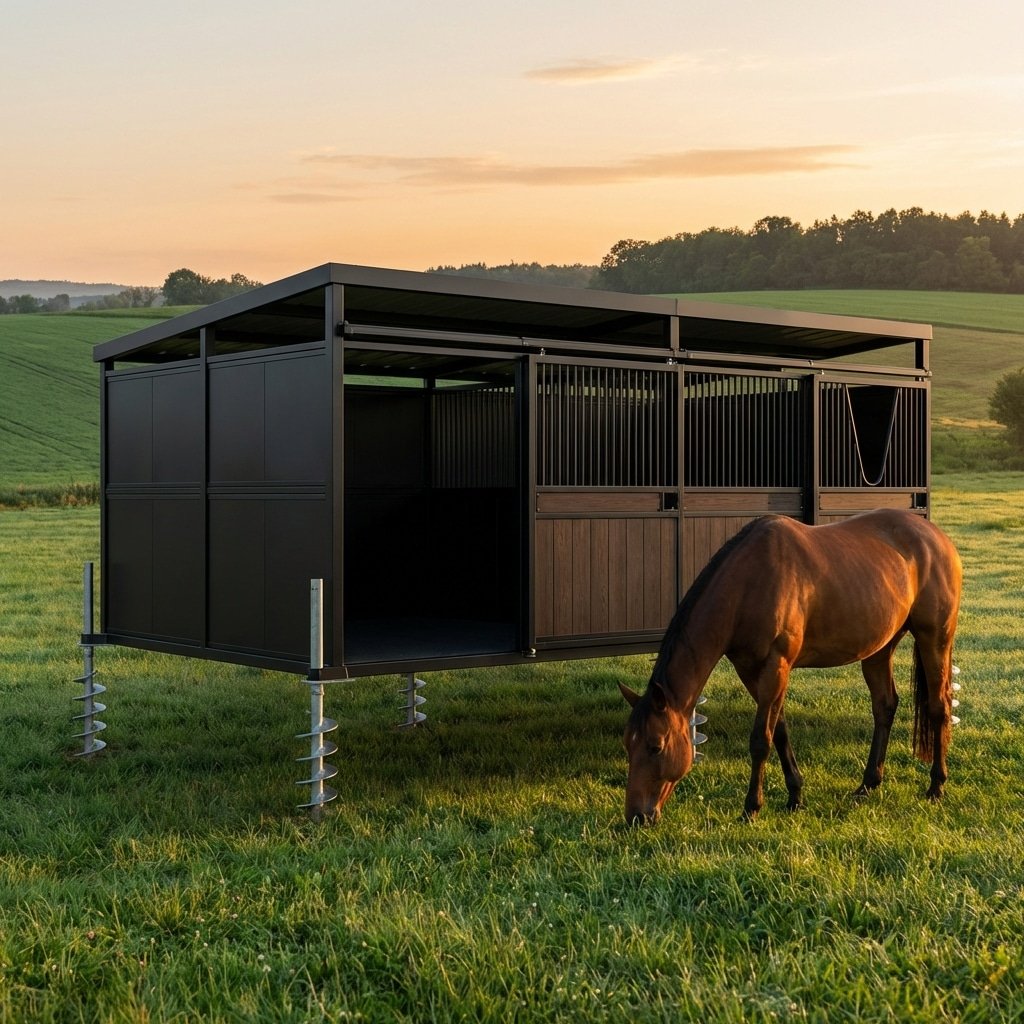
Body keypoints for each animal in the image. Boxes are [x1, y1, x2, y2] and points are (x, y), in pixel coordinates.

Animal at [619, 508, 962, 826]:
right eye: (627, 745)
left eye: (655, 746)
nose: (637, 816)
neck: (749, 584)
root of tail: (938, 538)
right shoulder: (751, 671)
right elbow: (779, 731)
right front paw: (795, 796)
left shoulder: (776, 666)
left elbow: (761, 739)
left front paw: (751, 808)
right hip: (879, 649)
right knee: (884, 706)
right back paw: (867, 785)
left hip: (935, 638)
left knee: (939, 707)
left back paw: (936, 787)